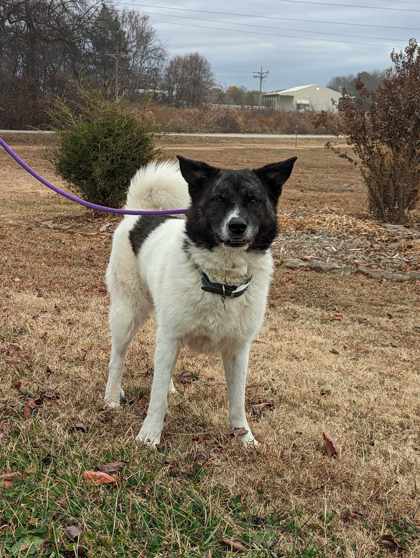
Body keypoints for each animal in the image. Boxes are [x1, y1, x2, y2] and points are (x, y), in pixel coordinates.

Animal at [104, 155, 296, 448]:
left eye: (253, 199)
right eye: (218, 198)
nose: (237, 226)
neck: (221, 283)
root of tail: (138, 214)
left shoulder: (238, 350)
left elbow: (237, 401)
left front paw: (245, 438)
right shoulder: (170, 336)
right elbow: (156, 398)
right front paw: (149, 436)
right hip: (127, 314)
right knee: (117, 358)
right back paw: (112, 397)